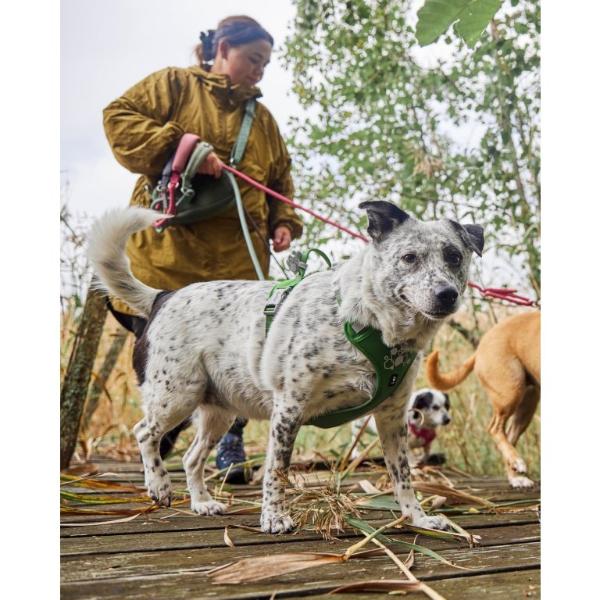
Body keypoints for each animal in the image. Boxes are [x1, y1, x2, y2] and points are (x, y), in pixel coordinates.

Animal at [88, 201, 483, 533]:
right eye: (409, 257)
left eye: (453, 256)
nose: (447, 294)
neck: (366, 323)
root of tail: (163, 296)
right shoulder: (289, 408)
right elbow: (277, 471)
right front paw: (274, 518)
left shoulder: (391, 418)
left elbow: (403, 476)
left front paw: (417, 518)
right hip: (176, 395)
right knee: (144, 432)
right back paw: (158, 485)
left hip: (218, 413)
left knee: (190, 457)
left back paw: (201, 503)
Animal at [426, 310, 540, 488]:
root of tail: (481, 347)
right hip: (511, 391)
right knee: (495, 429)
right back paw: (516, 464)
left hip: (528, 403)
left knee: (510, 436)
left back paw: (515, 477)